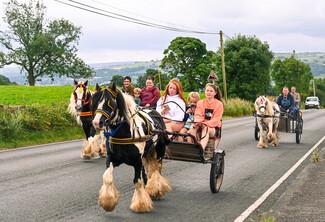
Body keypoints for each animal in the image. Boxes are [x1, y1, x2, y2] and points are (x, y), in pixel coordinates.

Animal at [91, 83, 171, 213]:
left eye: (110, 102)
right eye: (96, 101)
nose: (97, 122)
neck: (125, 133)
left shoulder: (137, 160)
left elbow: (137, 181)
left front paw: (141, 205)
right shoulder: (112, 159)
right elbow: (107, 177)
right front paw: (108, 202)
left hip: (159, 150)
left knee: (156, 170)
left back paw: (156, 190)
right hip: (146, 154)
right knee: (148, 171)